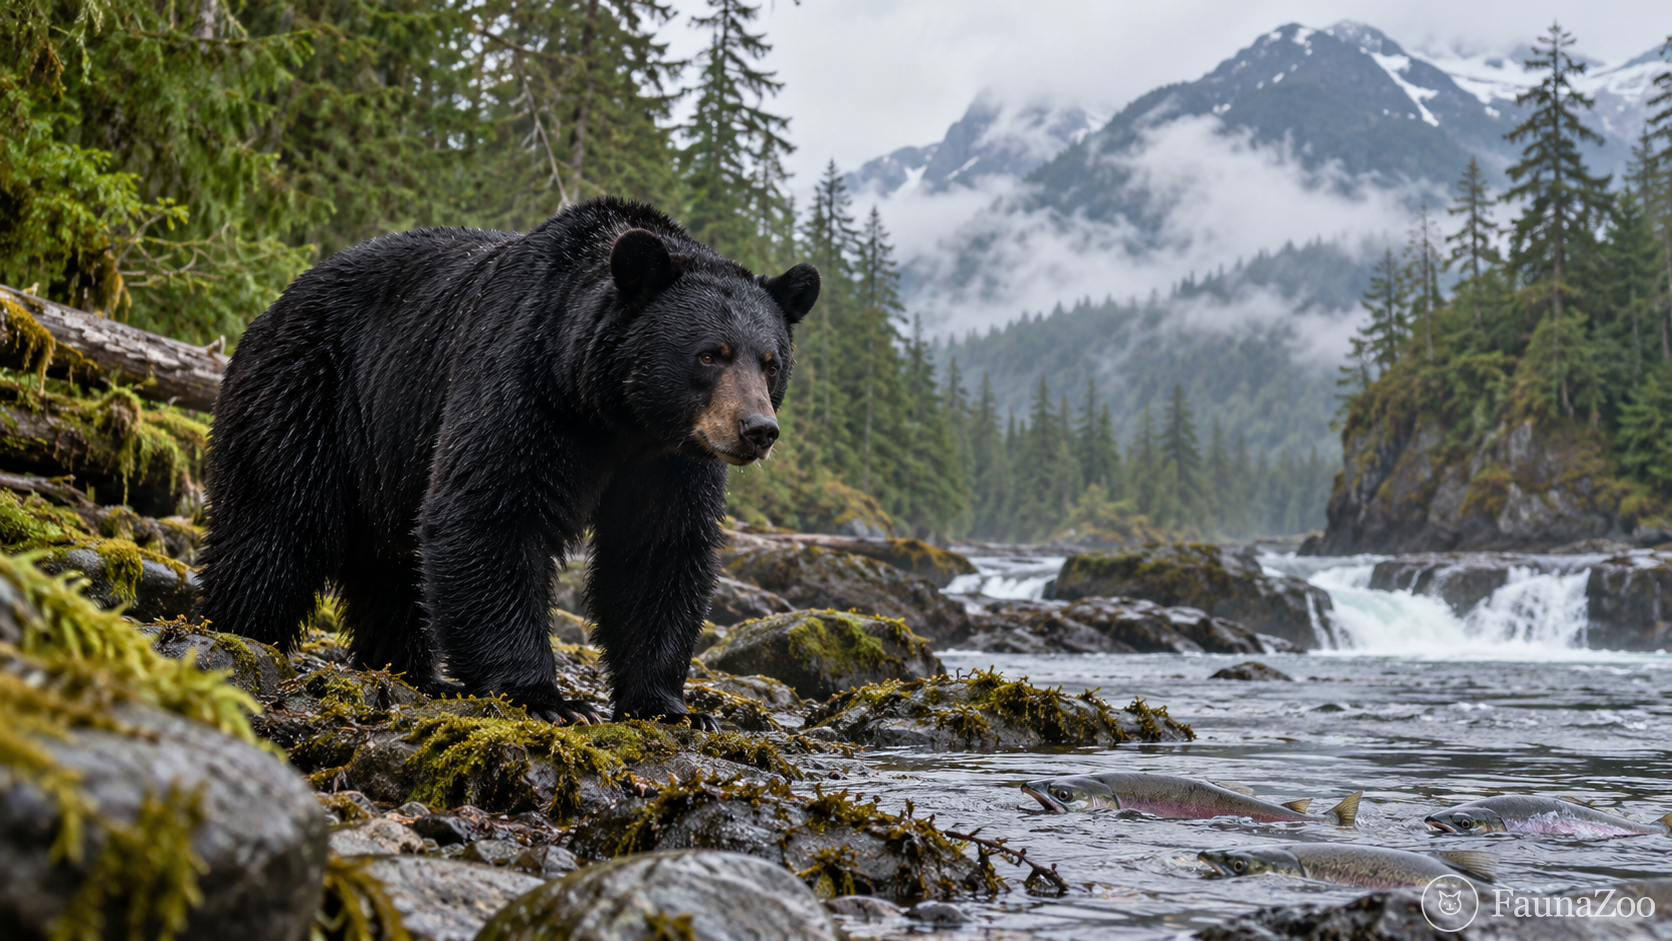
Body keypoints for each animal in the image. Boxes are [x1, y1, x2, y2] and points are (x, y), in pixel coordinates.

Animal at [197, 197, 819, 726]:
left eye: (770, 362)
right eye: (711, 354)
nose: (757, 430)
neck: (615, 413)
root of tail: (275, 304)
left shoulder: (670, 460)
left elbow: (657, 551)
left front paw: (669, 706)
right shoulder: (523, 385)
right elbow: (490, 513)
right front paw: (546, 699)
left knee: (391, 564)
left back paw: (414, 672)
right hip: (309, 398)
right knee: (275, 526)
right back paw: (241, 634)